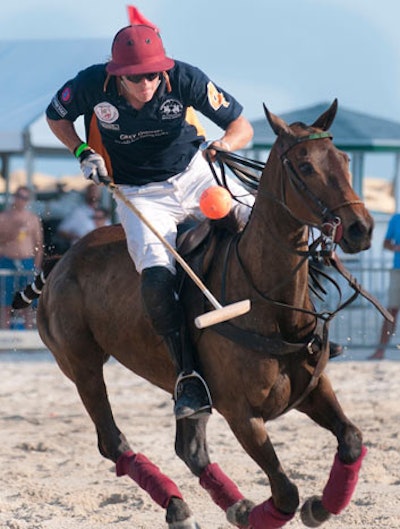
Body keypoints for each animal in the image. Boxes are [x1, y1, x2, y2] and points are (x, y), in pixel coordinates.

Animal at [35, 100, 376, 528]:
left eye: (344, 159)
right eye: (304, 166)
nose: (361, 228)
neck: (269, 303)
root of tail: (60, 261)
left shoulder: (314, 389)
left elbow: (351, 439)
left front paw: (319, 506)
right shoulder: (242, 415)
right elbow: (285, 493)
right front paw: (277, 510)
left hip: (182, 389)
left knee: (189, 448)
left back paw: (226, 504)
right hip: (80, 364)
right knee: (112, 440)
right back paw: (180, 507)